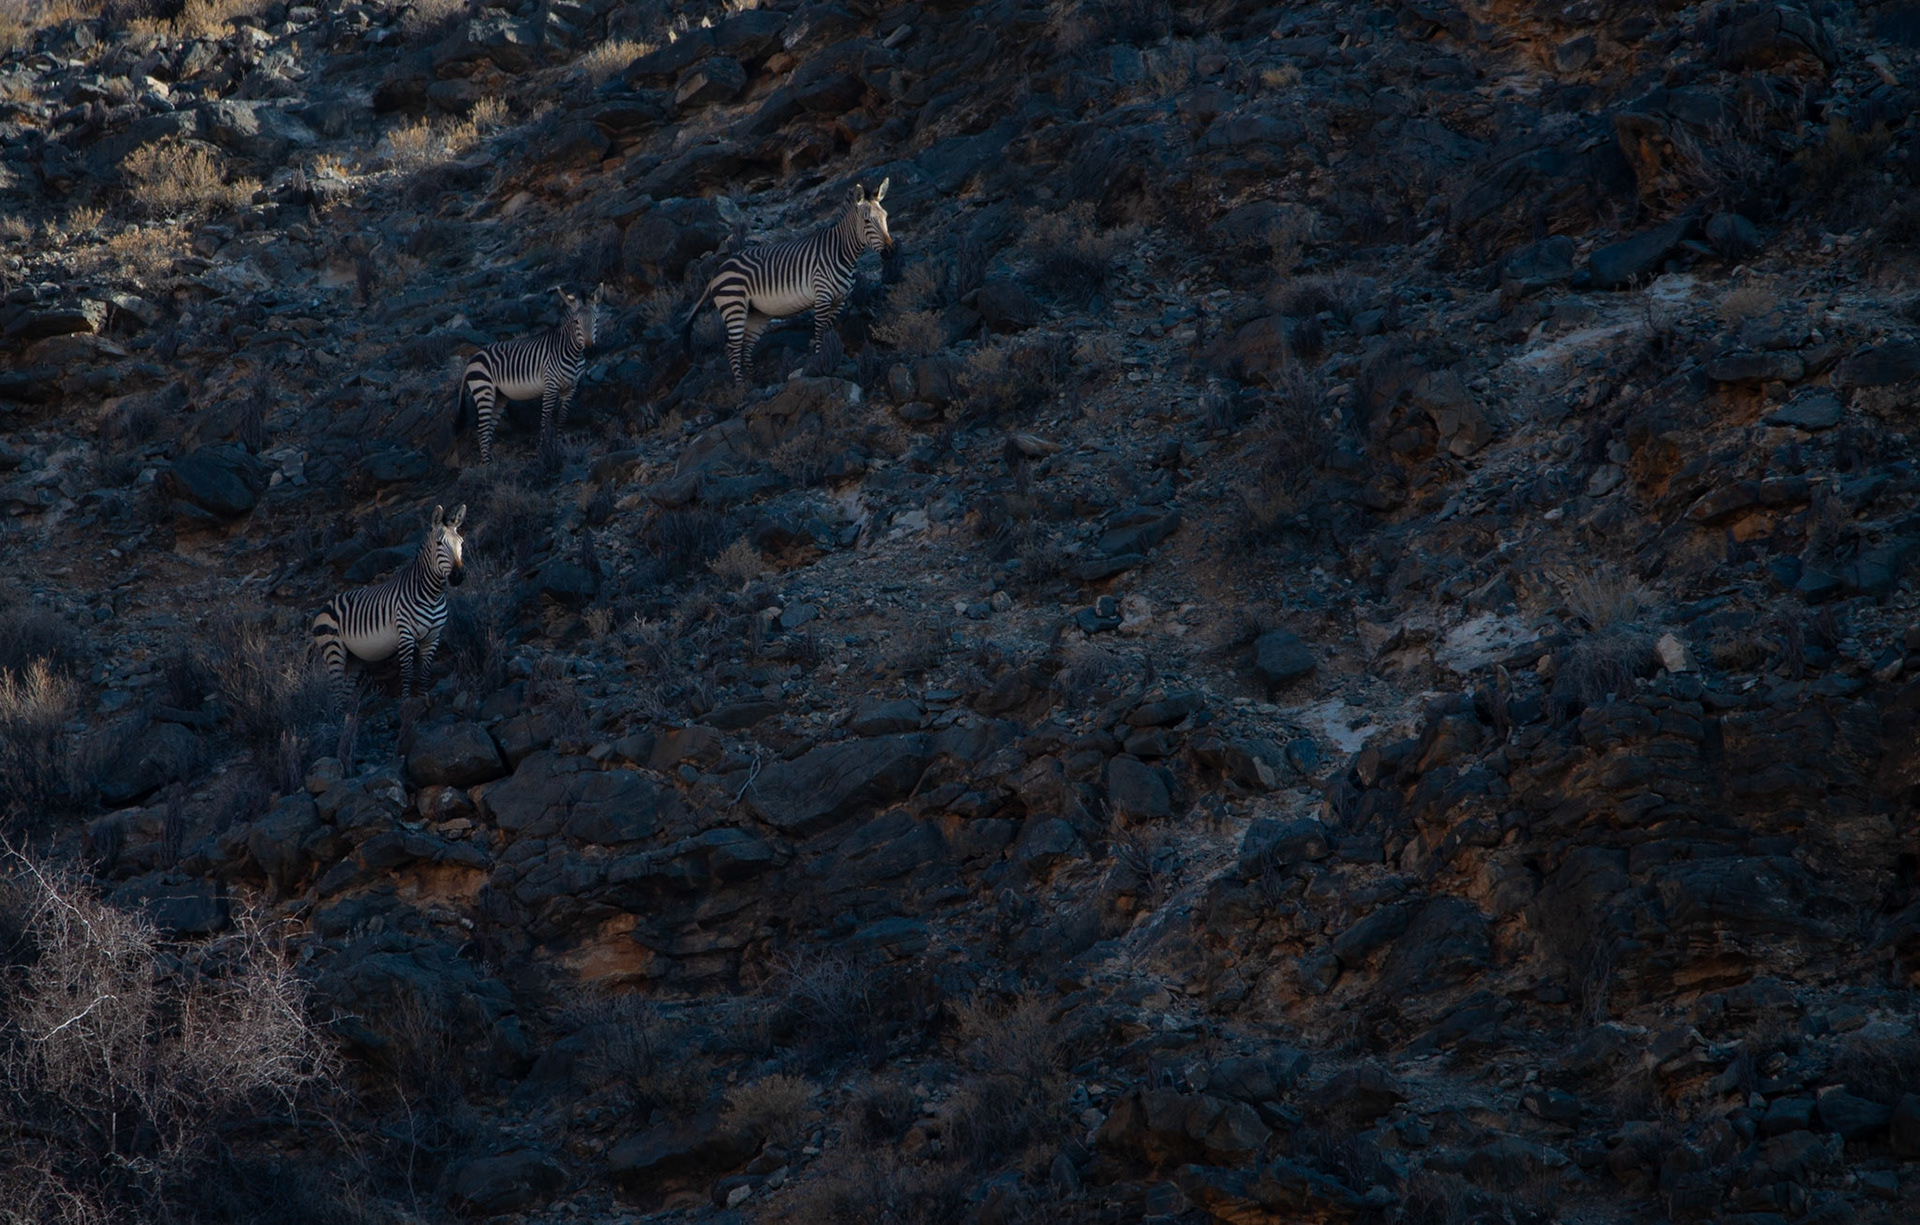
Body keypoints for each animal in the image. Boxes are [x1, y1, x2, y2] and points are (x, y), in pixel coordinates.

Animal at [311, 503, 466, 703]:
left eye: (461, 543)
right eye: (439, 544)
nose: (458, 576)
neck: (432, 595)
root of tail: (325, 606)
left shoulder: (432, 637)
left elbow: (425, 673)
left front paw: (424, 699)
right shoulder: (406, 634)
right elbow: (407, 673)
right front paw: (406, 703)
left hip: (353, 658)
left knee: (344, 696)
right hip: (333, 650)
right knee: (337, 695)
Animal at [458, 285, 604, 464]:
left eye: (596, 320)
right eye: (576, 322)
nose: (590, 352)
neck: (573, 353)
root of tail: (471, 361)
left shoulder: (570, 388)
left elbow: (562, 420)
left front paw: (560, 447)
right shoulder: (550, 386)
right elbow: (545, 421)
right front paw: (544, 453)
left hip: (498, 397)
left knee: (487, 430)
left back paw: (491, 464)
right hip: (484, 391)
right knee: (482, 430)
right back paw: (487, 466)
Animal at [683, 179, 893, 385]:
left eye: (885, 217)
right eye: (867, 221)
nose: (889, 251)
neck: (842, 252)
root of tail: (717, 272)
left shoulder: (839, 301)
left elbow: (828, 331)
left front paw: (834, 360)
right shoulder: (822, 295)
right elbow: (819, 331)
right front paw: (820, 361)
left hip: (756, 313)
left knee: (746, 346)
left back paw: (756, 382)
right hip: (734, 306)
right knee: (732, 348)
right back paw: (741, 387)